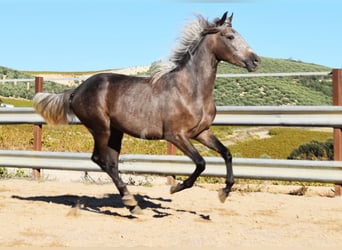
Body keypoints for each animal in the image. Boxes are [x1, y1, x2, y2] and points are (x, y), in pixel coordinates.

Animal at [34, 11, 260, 214]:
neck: (190, 90)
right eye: (230, 36)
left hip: (116, 132)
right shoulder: (175, 135)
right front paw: (175, 188)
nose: (256, 60)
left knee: (112, 163)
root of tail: (76, 91)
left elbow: (226, 153)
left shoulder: (201, 132)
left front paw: (224, 192)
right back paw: (130, 202)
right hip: (101, 128)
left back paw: (132, 204)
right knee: (100, 159)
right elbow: (201, 163)